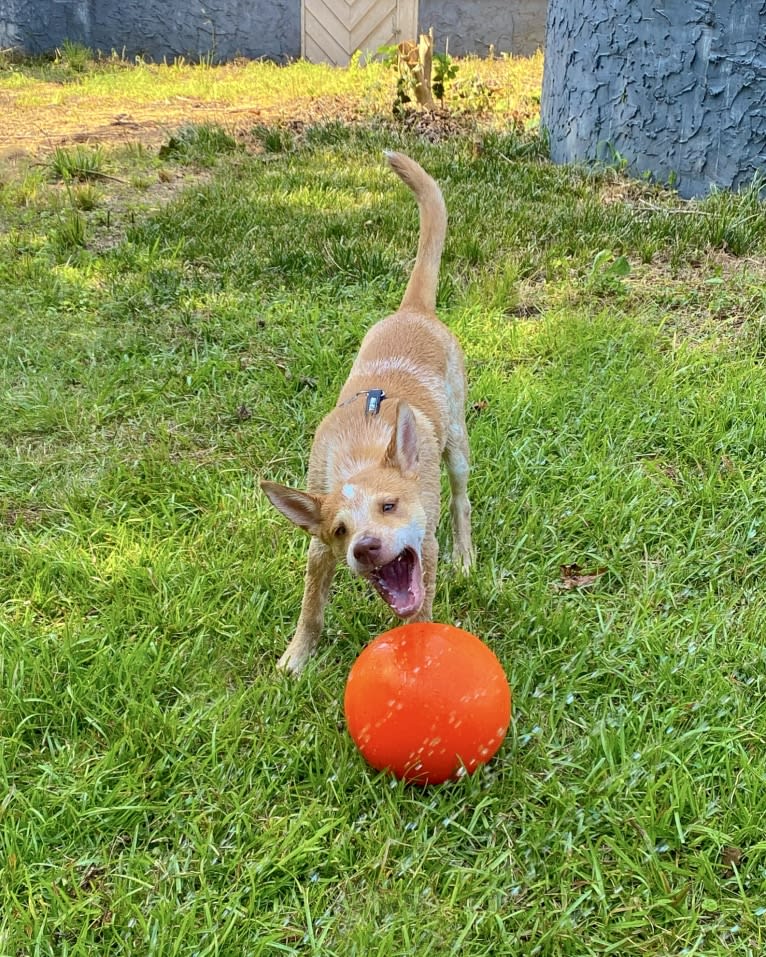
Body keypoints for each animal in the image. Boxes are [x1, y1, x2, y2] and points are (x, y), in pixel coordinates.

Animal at [264, 151, 474, 672]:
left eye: (389, 506)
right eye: (342, 530)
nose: (366, 547)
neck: (358, 455)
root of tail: (413, 310)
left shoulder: (424, 547)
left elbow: (420, 609)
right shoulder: (318, 549)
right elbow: (311, 609)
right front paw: (296, 659)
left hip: (458, 445)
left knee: (461, 500)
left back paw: (466, 555)